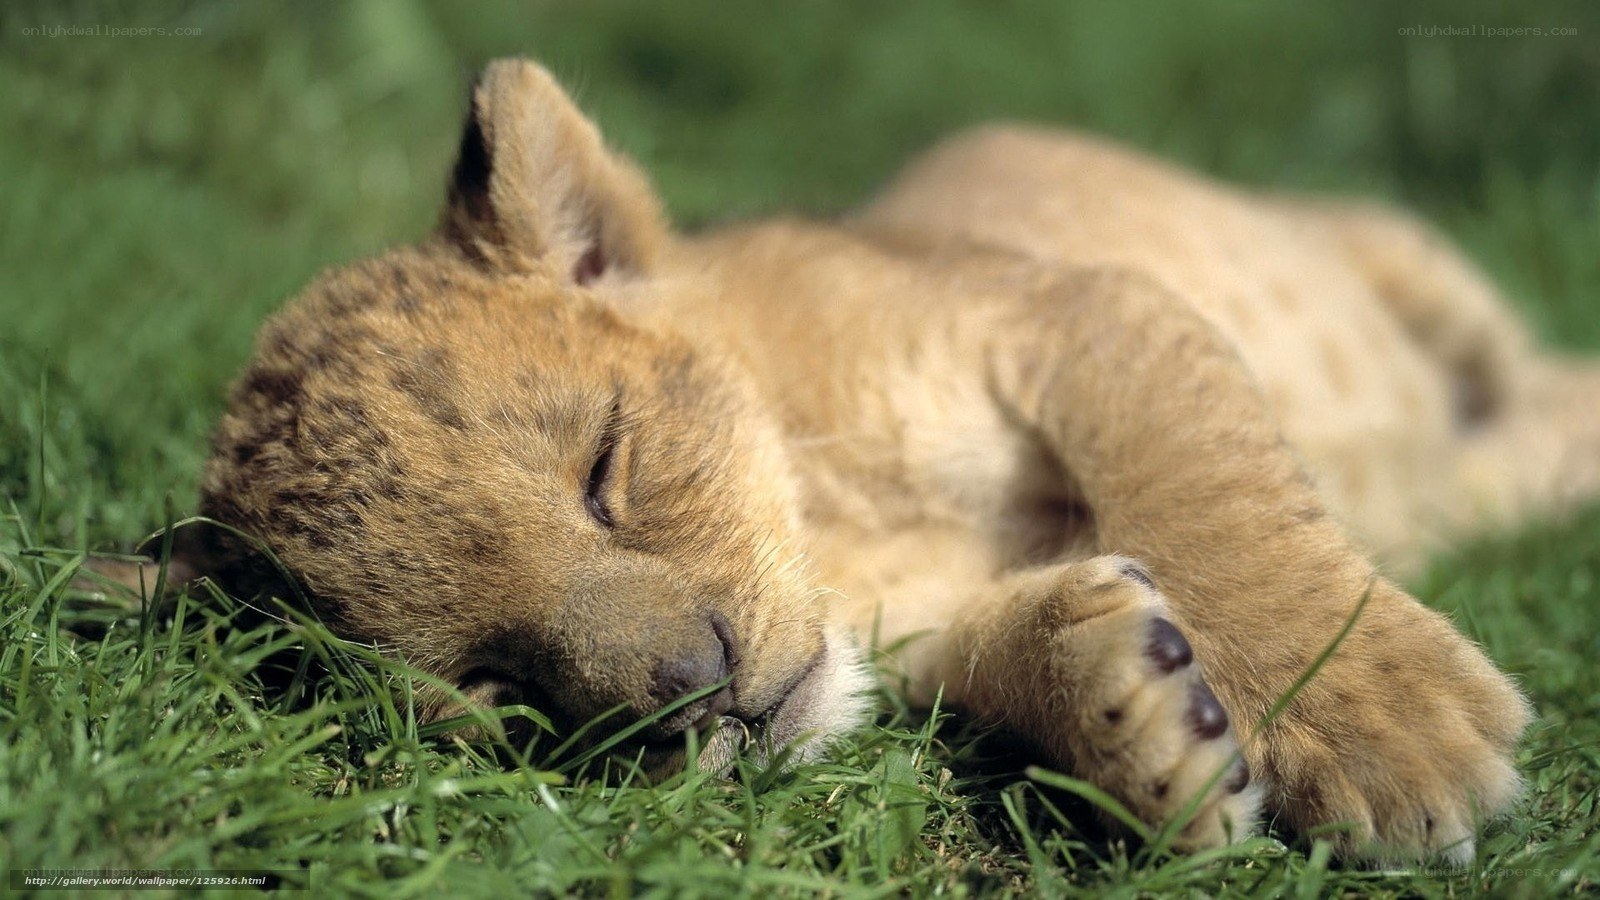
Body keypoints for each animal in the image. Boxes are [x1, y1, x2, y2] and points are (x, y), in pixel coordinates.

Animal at [150, 60, 1600, 862]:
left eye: (606, 470)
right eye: (494, 682)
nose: (697, 698)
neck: (836, 529)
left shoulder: (1077, 310)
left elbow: (1215, 501)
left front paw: (1387, 738)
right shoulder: (917, 634)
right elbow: (1005, 651)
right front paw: (1138, 721)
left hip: (1399, 257)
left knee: (1528, 374)